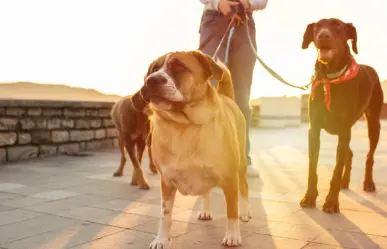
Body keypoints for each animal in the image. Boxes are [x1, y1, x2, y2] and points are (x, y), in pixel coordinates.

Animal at [138, 49, 253, 248]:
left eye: (179, 66)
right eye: (153, 69)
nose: (152, 80)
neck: (184, 125)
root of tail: (226, 97)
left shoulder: (230, 180)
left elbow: (232, 211)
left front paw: (232, 235)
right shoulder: (166, 182)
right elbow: (165, 215)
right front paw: (161, 239)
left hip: (241, 167)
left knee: (244, 188)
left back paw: (245, 212)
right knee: (206, 191)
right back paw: (205, 211)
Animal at [300, 18, 384, 212]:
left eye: (338, 26)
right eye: (317, 26)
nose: (323, 35)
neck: (330, 78)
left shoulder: (344, 129)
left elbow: (336, 170)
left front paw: (331, 202)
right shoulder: (314, 130)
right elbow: (312, 167)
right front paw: (309, 197)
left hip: (373, 124)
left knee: (369, 156)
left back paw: (368, 182)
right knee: (349, 154)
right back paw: (345, 182)